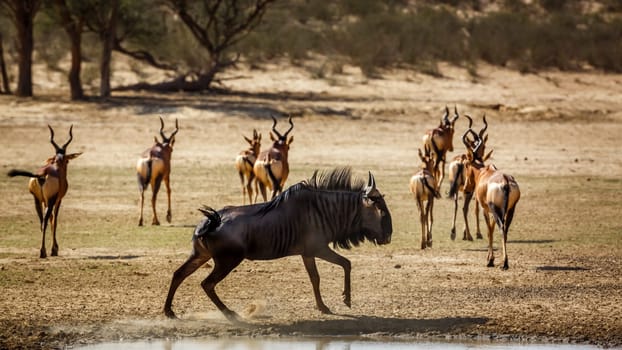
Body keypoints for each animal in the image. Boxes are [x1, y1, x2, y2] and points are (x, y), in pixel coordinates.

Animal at [7, 124, 81, 258]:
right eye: (67, 160)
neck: (56, 167)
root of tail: (42, 174)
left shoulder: (44, 201)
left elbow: (50, 219)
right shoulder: (57, 200)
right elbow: (54, 220)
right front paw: (55, 249)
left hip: (36, 200)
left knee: (42, 222)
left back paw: (43, 251)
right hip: (50, 201)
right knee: (46, 221)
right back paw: (43, 252)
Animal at [464, 120, 520, 270]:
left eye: (465, 164)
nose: (466, 188)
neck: (484, 171)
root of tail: (505, 181)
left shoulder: (486, 209)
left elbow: (489, 230)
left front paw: (490, 260)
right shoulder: (494, 211)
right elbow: (492, 228)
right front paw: (492, 259)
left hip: (496, 209)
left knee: (501, 228)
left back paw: (504, 263)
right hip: (510, 209)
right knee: (505, 229)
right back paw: (504, 262)